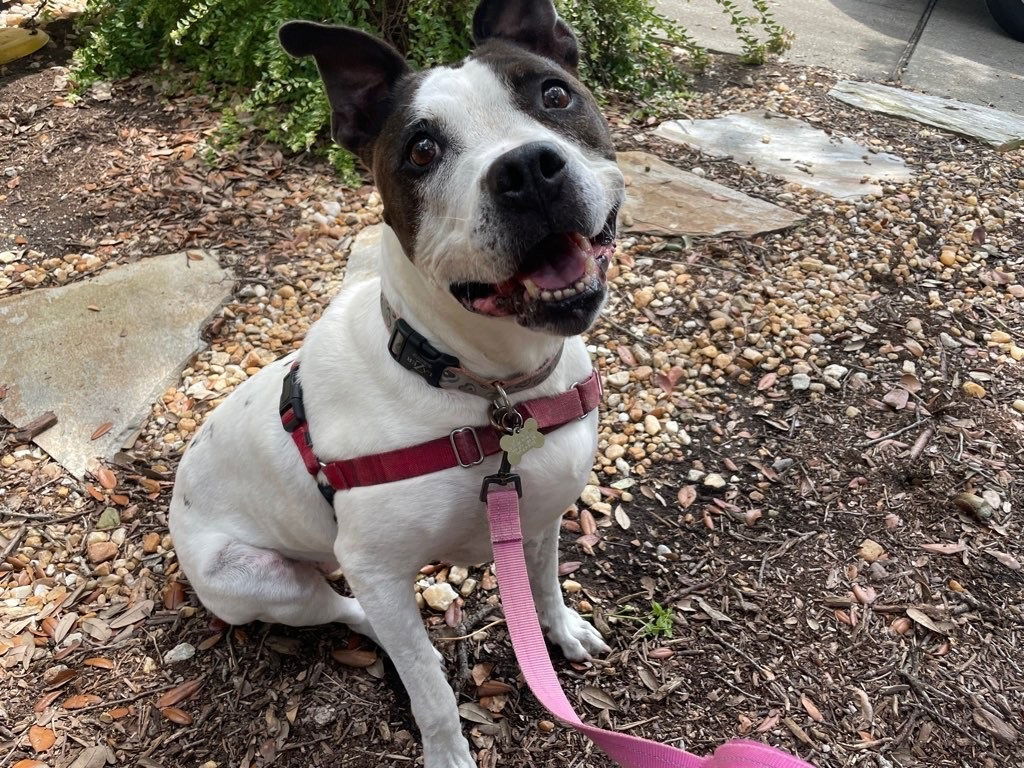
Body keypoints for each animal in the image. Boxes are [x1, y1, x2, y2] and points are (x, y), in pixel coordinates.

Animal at [168, 3, 626, 765]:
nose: (528, 170)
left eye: (554, 94)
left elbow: (543, 585)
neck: (487, 389)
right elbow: (430, 691)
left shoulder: (539, 515)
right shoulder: (378, 567)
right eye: (421, 150)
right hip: (256, 583)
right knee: (355, 613)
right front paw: (447, 751)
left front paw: (560, 632)